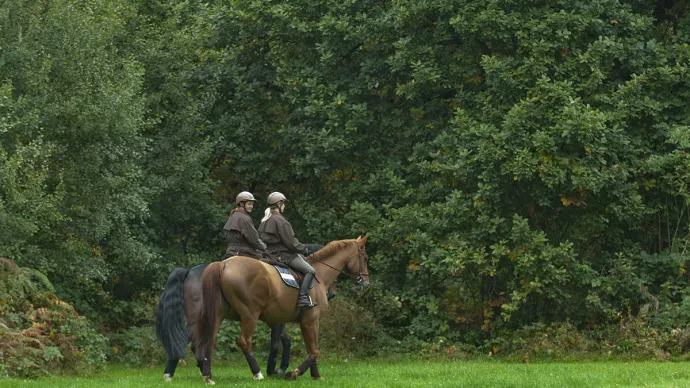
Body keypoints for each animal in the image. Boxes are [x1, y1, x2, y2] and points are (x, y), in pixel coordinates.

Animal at [194, 233, 368, 382]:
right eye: (365, 258)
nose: (366, 283)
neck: (319, 274)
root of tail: (224, 264)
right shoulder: (311, 321)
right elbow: (314, 350)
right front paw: (294, 372)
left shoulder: (300, 322)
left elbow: (309, 349)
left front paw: (315, 375)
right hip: (250, 315)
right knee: (244, 341)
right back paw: (257, 373)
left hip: (218, 314)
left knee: (210, 340)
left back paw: (208, 376)